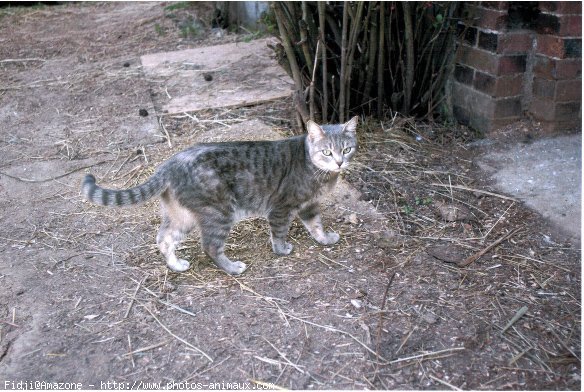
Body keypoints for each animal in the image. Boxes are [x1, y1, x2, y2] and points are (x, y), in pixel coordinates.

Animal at [81, 118, 356, 274]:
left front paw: (325, 239)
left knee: (164, 239)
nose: (340, 162)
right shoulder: (281, 207)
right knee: (210, 246)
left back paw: (176, 266)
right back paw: (232, 268)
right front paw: (282, 249)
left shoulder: (310, 205)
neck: (317, 171)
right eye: (327, 152)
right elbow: (279, 233)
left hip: (183, 216)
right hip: (219, 213)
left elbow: (316, 225)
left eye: (347, 149)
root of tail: (170, 163)